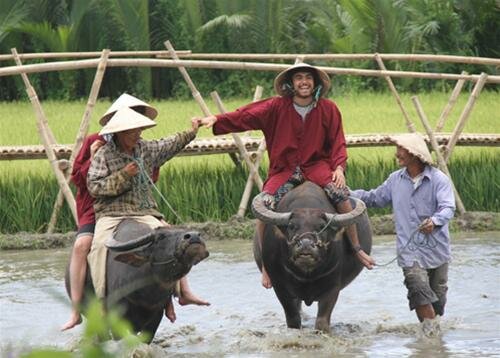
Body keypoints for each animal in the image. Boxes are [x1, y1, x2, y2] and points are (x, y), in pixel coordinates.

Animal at [250, 182, 372, 332]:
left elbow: (321, 322)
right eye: (292, 226)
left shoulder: (333, 288)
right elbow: (293, 320)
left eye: (321, 227)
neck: (307, 273)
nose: (306, 245)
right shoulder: (281, 288)